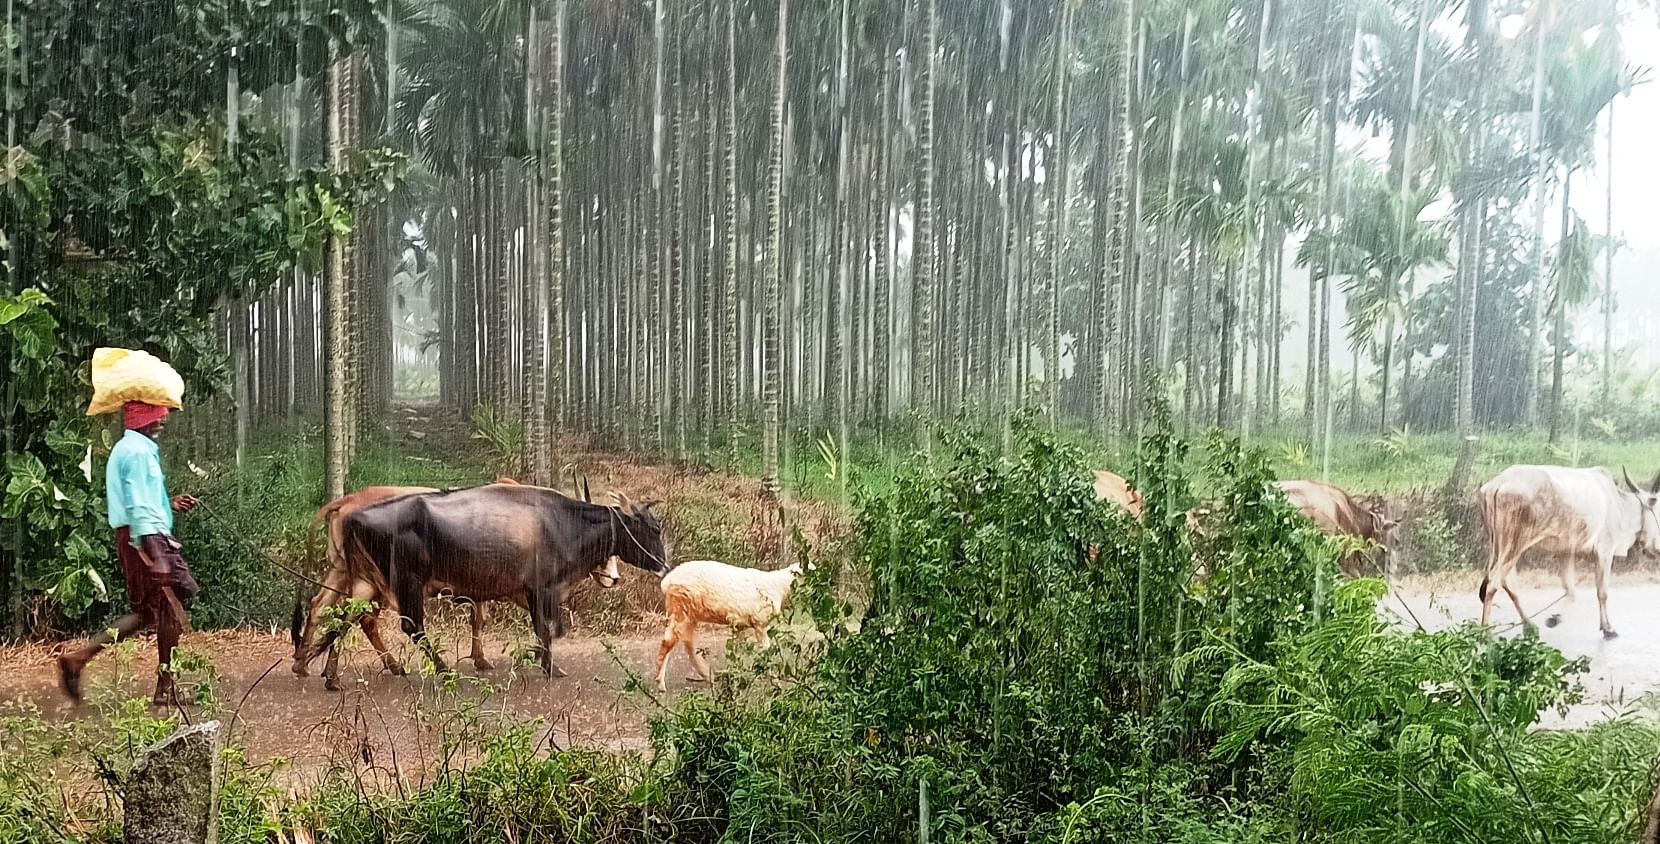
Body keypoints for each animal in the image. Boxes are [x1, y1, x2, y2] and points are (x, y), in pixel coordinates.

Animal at [338, 485, 667, 674]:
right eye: (653, 528)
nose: (663, 565)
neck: (565, 523)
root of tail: (355, 516)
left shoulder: (536, 594)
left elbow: (547, 630)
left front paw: (537, 658)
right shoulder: (541, 589)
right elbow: (548, 629)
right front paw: (547, 665)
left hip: (368, 585)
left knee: (343, 620)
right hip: (407, 583)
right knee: (412, 628)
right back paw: (442, 669)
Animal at [650, 558, 800, 687]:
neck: (780, 586)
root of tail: (667, 581)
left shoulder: (739, 625)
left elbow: (737, 650)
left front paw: (737, 674)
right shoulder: (760, 623)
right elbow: (766, 651)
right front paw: (775, 681)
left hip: (690, 614)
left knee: (688, 642)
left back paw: (707, 674)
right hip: (680, 610)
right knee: (668, 642)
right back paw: (660, 683)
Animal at [1480, 465, 1660, 634]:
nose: (1656, 550)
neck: (1620, 505)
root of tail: (1497, 483)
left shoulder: (1566, 552)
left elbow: (1570, 591)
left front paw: (1555, 618)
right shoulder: (1605, 551)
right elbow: (1602, 592)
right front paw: (1607, 628)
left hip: (1498, 545)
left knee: (1507, 584)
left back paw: (1528, 625)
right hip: (1514, 544)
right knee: (1494, 584)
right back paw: (1485, 631)